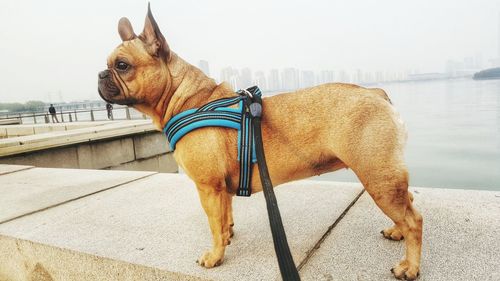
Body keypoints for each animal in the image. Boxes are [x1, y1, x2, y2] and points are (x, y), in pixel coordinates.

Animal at [96, 5, 422, 278]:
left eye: (122, 65)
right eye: (109, 64)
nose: (100, 74)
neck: (185, 98)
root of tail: (376, 93)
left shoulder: (207, 187)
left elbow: (212, 224)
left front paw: (214, 256)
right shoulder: (220, 188)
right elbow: (224, 217)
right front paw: (228, 235)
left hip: (376, 176)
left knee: (414, 220)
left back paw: (409, 266)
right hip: (384, 177)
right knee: (407, 203)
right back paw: (397, 233)